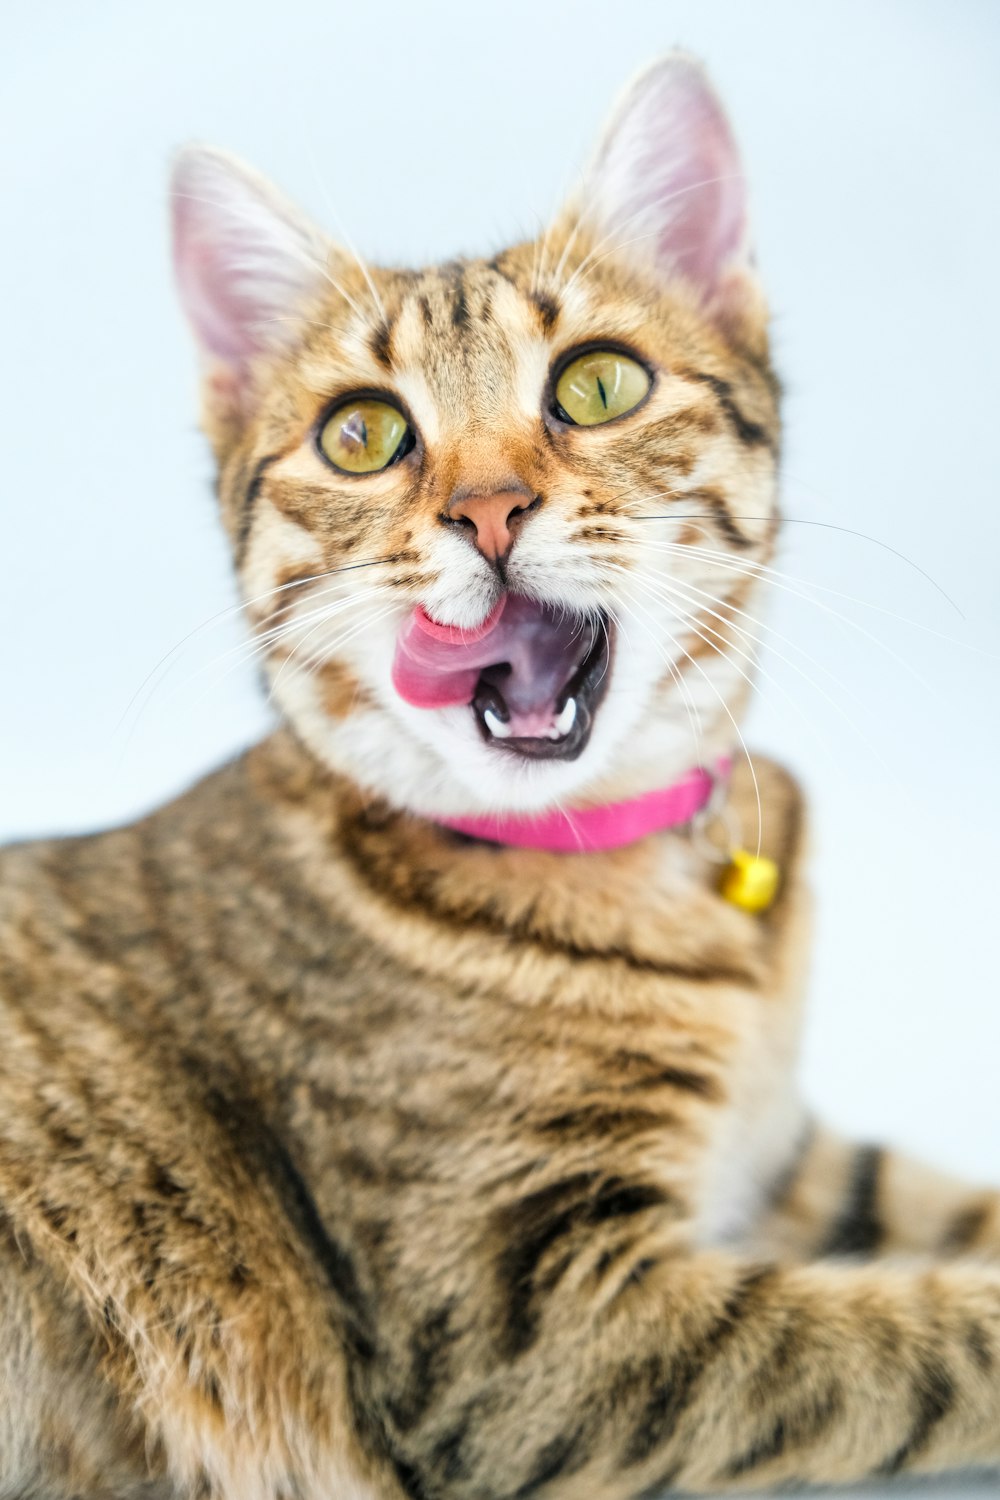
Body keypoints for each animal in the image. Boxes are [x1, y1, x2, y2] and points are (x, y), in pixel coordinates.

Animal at [1, 46, 1000, 1500]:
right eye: (362, 434)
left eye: (596, 385)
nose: (485, 509)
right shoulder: (524, 1332)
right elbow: (906, 1337)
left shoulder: (788, 1157)